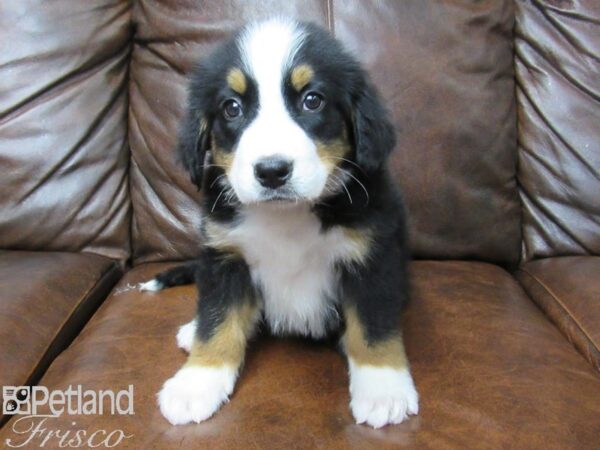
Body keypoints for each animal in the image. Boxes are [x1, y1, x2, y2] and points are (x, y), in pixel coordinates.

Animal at [141, 17, 420, 428]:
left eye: (312, 100)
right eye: (232, 107)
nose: (272, 171)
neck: (286, 217)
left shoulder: (372, 257)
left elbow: (373, 327)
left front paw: (383, 387)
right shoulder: (225, 257)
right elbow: (218, 320)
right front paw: (198, 382)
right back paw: (192, 331)